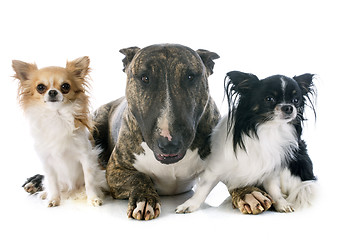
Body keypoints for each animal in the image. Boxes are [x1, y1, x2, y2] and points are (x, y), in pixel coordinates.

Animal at [12, 56, 106, 206]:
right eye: (40, 87)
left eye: (65, 86)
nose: (52, 92)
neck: (56, 116)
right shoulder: (47, 162)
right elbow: (52, 182)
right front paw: (54, 199)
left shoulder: (86, 157)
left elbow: (89, 180)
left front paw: (93, 198)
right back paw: (45, 193)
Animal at [178, 71, 320, 214]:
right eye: (269, 99)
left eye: (295, 101)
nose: (289, 107)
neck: (268, 129)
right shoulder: (216, 167)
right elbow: (204, 188)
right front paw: (190, 204)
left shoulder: (271, 170)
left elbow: (274, 189)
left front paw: (281, 203)